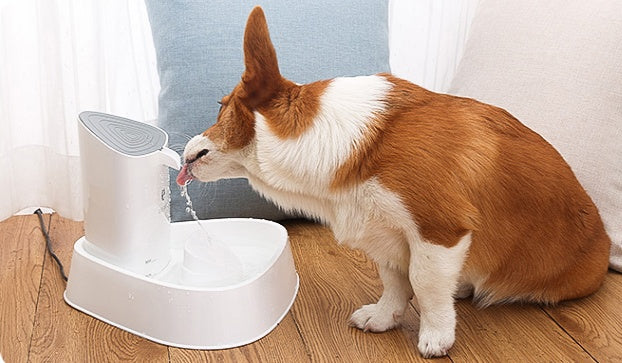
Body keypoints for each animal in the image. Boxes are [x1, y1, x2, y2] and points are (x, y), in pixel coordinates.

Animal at [177, 7, 616, 360]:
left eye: (220, 108)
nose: (184, 154)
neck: (344, 143)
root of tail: (605, 244)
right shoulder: (385, 233)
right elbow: (394, 280)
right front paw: (384, 316)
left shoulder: (438, 232)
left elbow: (424, 283)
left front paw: (436, 337)